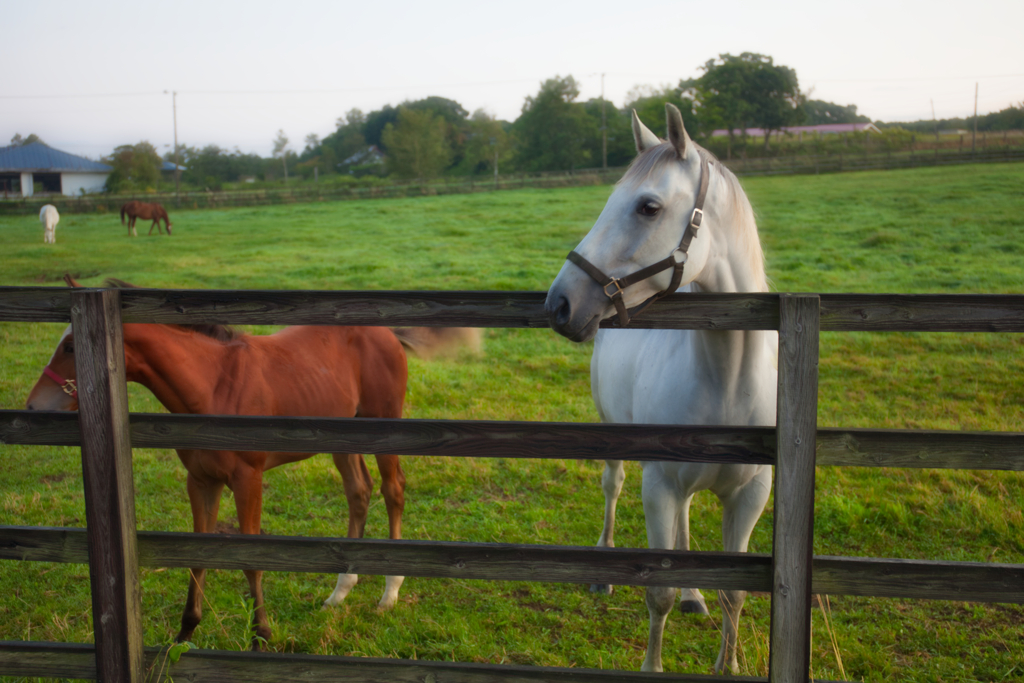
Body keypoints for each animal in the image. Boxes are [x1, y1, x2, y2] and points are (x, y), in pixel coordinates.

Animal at [544, 104, 774, 675]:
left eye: (648, 207)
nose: (559, 304)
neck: (728, 378)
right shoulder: (658, 486)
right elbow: (658, 593)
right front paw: (653, 666)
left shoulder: (751, 495)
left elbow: (734, 593)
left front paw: (728, 666)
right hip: (616, 439)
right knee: (612, 487)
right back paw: (604, 569)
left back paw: (695, 594)